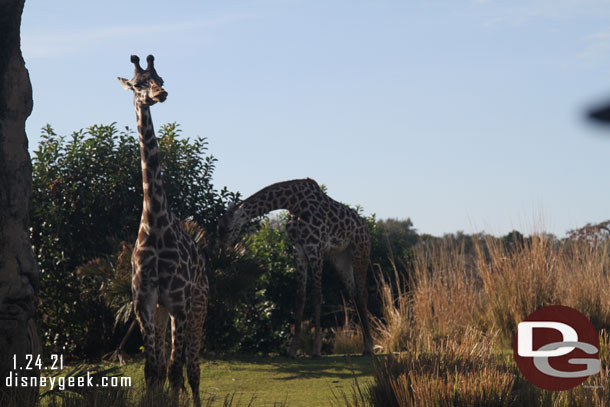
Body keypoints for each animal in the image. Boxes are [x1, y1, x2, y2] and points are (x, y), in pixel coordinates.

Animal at [117, 55, 208, 407]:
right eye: (137, 84)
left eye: (161, 78)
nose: (161, 93)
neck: (155, 219)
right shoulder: (144, 302)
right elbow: (152, 370)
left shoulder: (179, 302)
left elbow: (174, 370)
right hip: (160, 311)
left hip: (196, 307)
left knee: (192, 368)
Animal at [218, 178, 370, 356]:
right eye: (218, 228)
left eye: (229, 229)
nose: (222, 253)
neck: (294, 204)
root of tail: (365, 226)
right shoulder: (298, 248)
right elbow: (300, 296)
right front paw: (293, 348)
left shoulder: (315, 247)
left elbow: (317, 295)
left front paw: (316, 349)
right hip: (340, 258)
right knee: (353, 293)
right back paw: (365, 344)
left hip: (360, 251)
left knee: (362, 293)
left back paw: (370, 346)